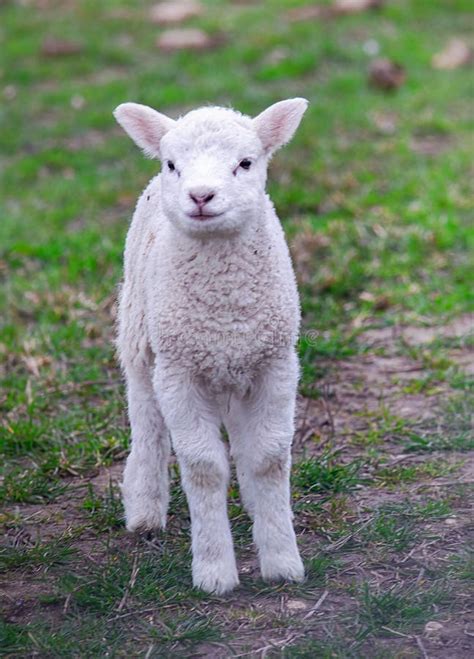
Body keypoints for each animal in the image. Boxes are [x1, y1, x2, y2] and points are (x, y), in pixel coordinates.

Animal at [114, 99, 308, 600]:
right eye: (171, 164)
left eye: (246, 163)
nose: (201, 196)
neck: (224, 310)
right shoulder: (179, 372)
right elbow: (203, 467)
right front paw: (215, 571)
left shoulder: (275, 364)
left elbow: (268, 460)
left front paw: (282, 560)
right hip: (141, 339)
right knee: (147, 422)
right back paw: (144, 509)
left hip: (237, 368)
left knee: (242, 442)